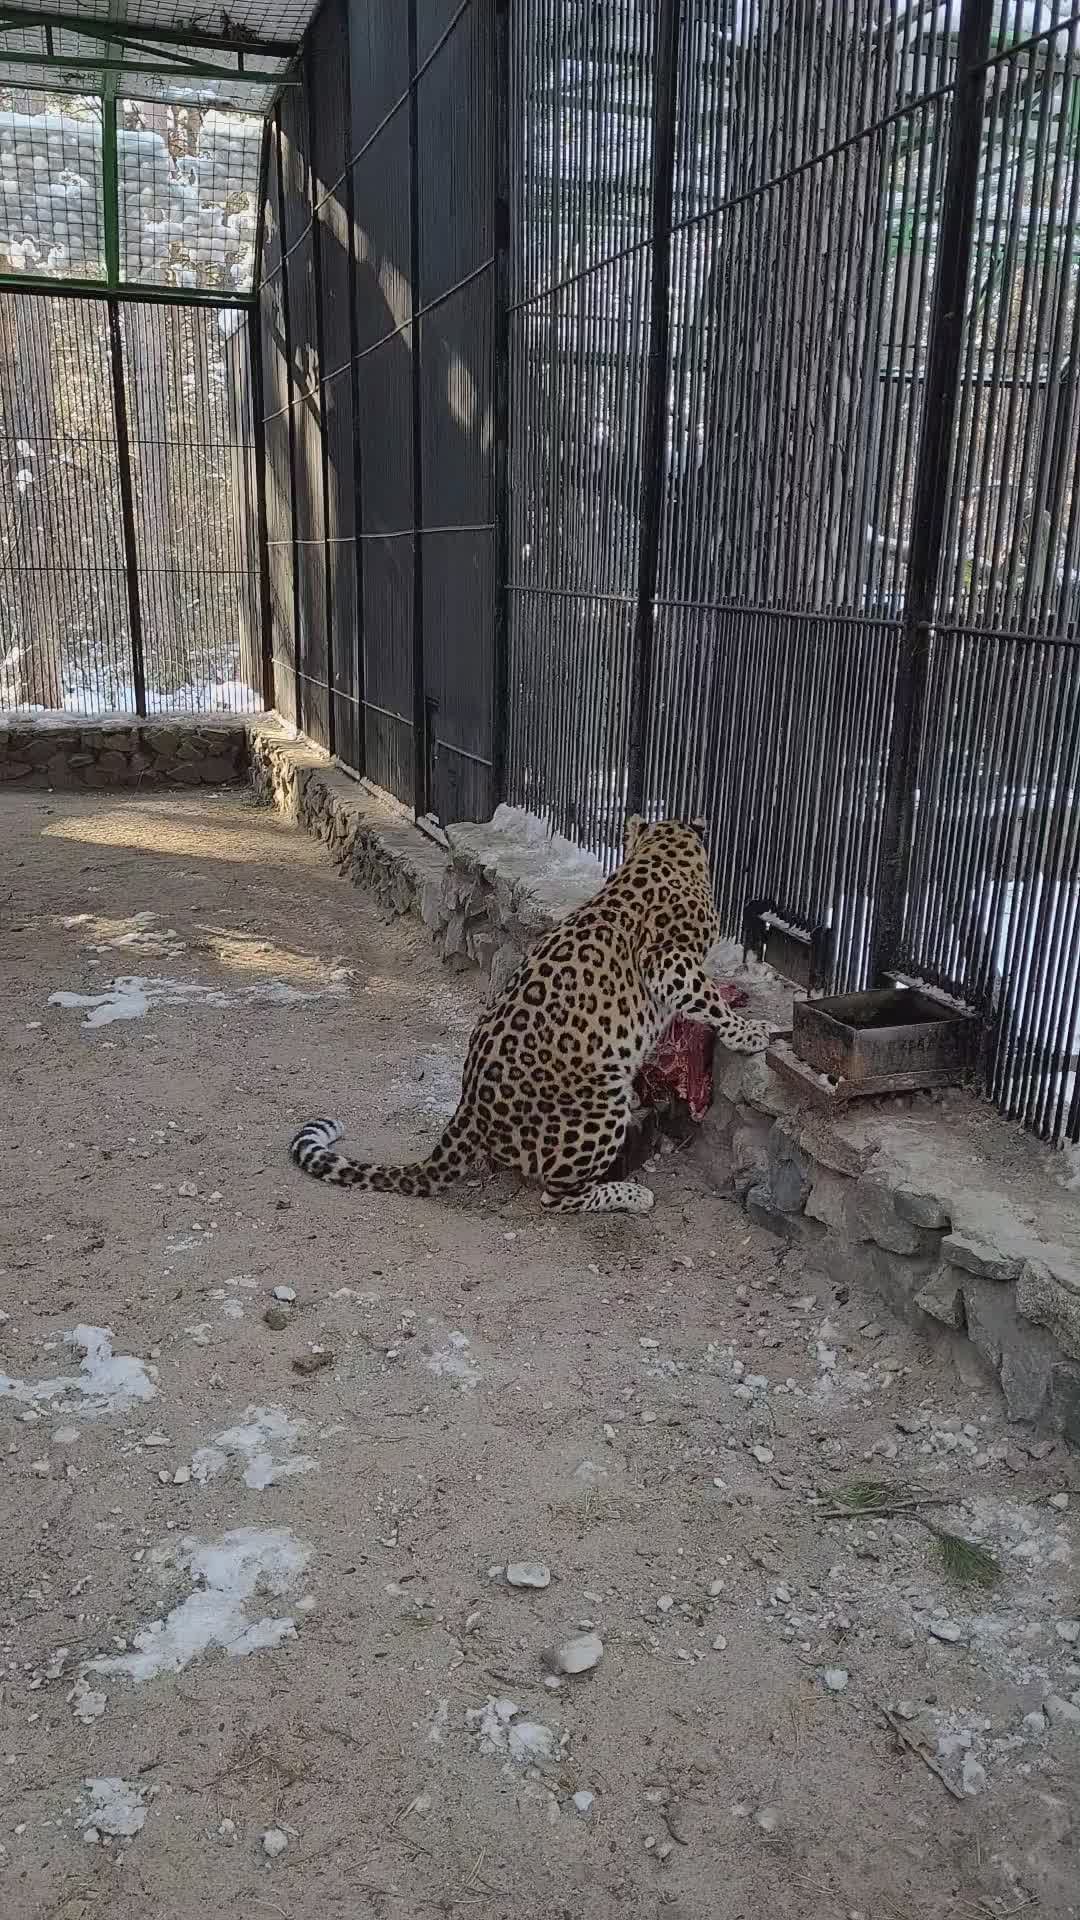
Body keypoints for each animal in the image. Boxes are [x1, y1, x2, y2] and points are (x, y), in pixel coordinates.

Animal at [289, 815, 774, 1215]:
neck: (661, 852)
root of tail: (468, 1111)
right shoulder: (668, 961)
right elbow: (708, 999)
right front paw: (750, 1032)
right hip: (599, 1106)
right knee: (556, 1196)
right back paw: (632, 1194)